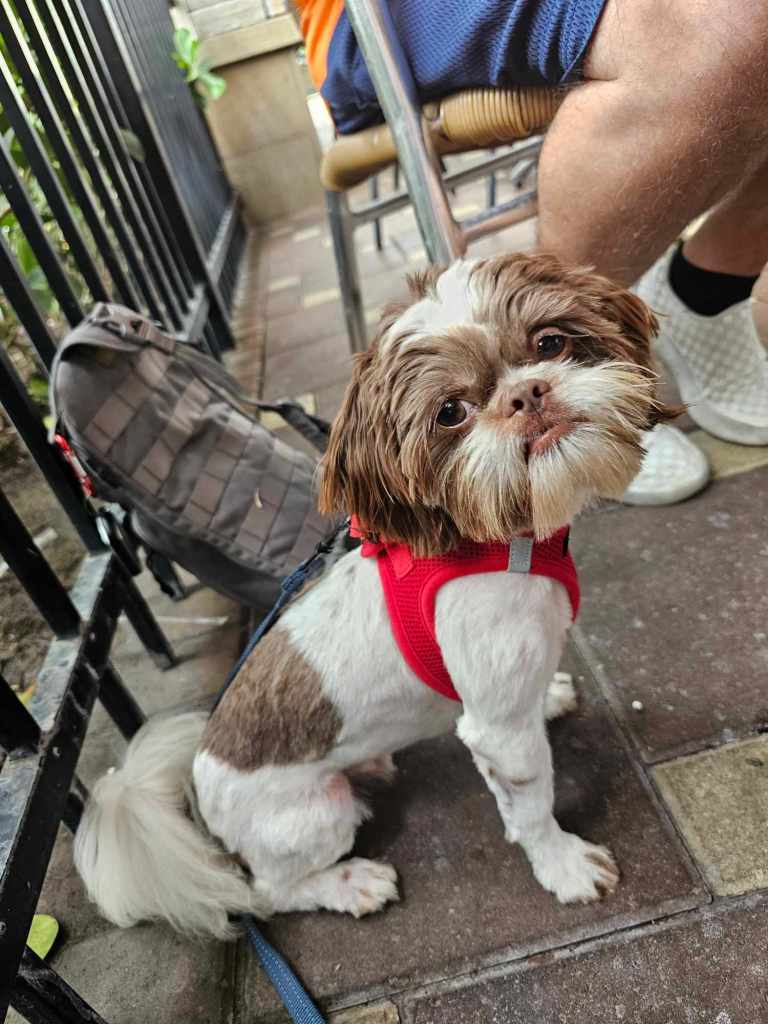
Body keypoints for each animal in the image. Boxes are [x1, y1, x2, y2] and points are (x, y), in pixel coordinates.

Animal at [75, 253, 676, 938]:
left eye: (551, 342)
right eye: (451, 411)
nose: (526, 394)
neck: (500, 540)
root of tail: (196, 784)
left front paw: (548, 697)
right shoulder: (498, 735)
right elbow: (530, 803)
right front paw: (564, 865)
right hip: (316, 818)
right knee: (270, 892)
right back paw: (350, 883)